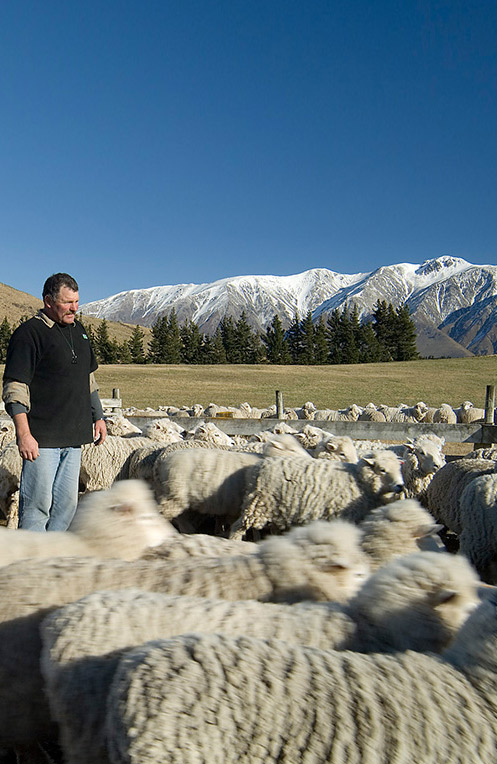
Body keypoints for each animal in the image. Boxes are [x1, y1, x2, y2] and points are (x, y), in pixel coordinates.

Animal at [229, 450, 404, 540]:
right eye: (382, 469)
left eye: (399, 468)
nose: (400, 486)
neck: (359, 480)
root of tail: (256, 468)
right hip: (257, 505)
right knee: (237, 527)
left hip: (274, 508)